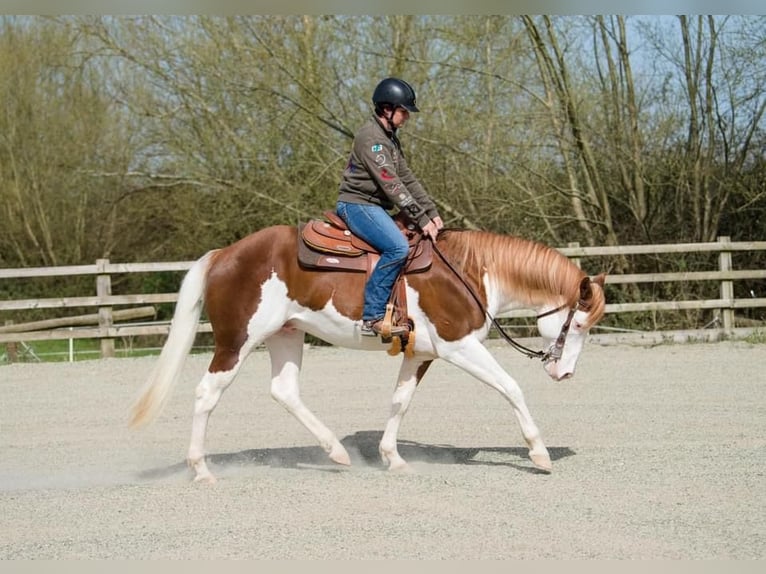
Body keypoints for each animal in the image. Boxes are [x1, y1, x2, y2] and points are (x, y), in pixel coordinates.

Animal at [130, 222, 608, 486]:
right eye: (578, 325)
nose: (565, 373)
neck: (470, 273)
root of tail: (222, 255)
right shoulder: (460, 346)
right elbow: (510, 388)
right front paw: (539, 455)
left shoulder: (420, 355)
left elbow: (399, 402)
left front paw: (392, 458)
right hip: (236, 342)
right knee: (206, 394)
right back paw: (201, 469)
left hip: (286, 335)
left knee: (284, 391)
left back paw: (336, 453)